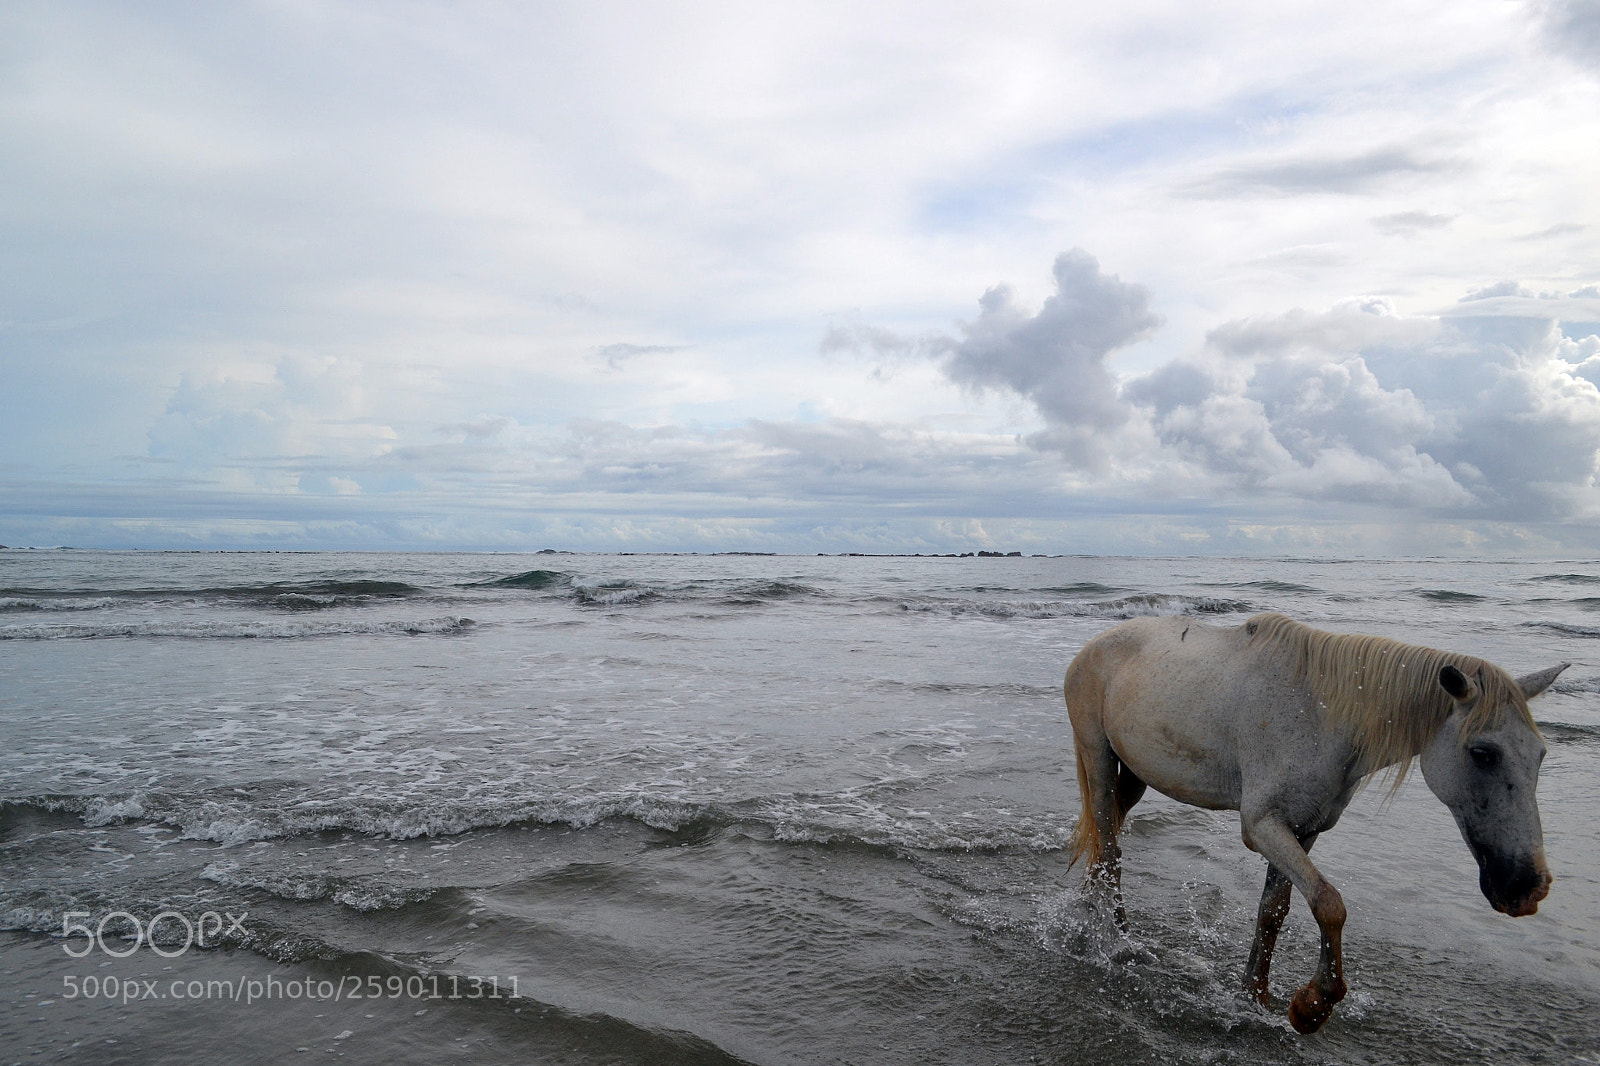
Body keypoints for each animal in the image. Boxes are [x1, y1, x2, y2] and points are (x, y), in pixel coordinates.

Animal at [1063, 611, 1566, 1034]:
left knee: (1105, 839)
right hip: (1099, 759)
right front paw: (1313, 1005)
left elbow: (1274, 912)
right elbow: (1329, 904)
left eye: (1540, 755)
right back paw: (1119, 942)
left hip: (1134, 777)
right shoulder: (1263, 827)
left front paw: (1255, 995)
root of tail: (1092, 646)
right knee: (1108, 848)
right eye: (1483, 753)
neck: (1322, 715)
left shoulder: (1304, 830)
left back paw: (1091, 913)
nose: (1527, 887)